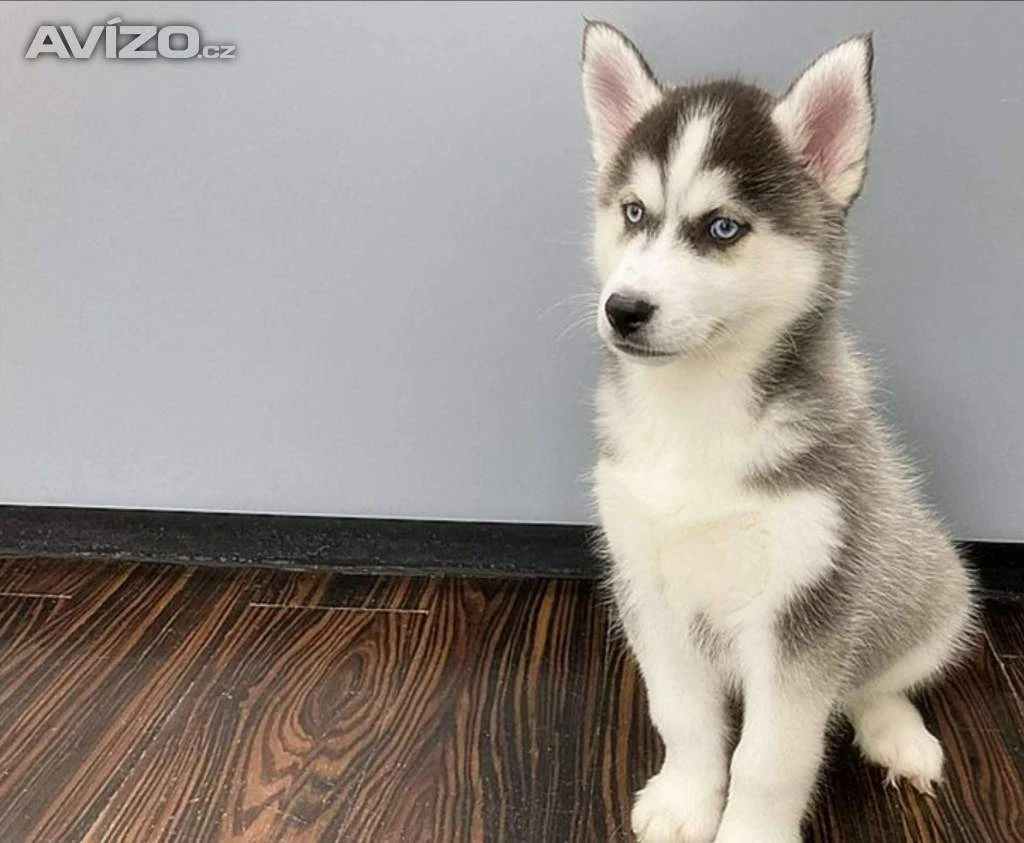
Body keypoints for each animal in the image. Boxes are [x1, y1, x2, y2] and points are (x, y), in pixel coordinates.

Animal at [580, 22, 978, 843]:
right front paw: (684, 800)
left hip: (932, 590)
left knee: (873, 682)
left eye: (722, 227)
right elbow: (684, 718)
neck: (697, 417)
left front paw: (750, 829)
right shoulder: (646, 584)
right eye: (633, 213)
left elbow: (773, 754)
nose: (622, 309)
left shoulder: (807, 604)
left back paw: (900, 736)